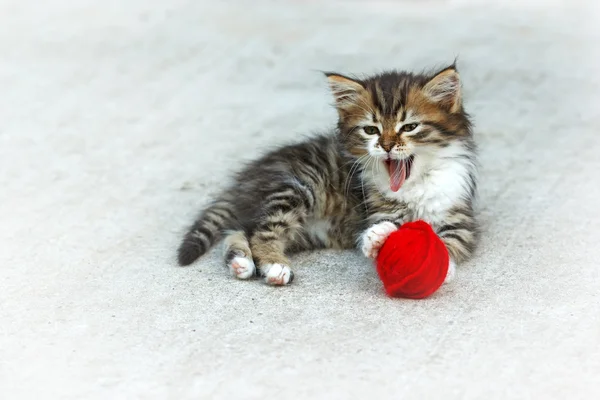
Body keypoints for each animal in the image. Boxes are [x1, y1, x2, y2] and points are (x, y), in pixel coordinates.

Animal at [176, 64, 476, 284]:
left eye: (410, 127)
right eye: (371, 130)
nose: (386, 146)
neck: (413, 187)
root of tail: (251, 175)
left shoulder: (460, 219)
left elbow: (451, 243)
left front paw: (443, 266)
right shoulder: (376, 210)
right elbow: (377, 230)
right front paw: (377, 238)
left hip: (305, 229)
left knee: (241, 230)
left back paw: (241, 262)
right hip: (296, 188)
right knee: (262, 232)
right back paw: (273, 265)